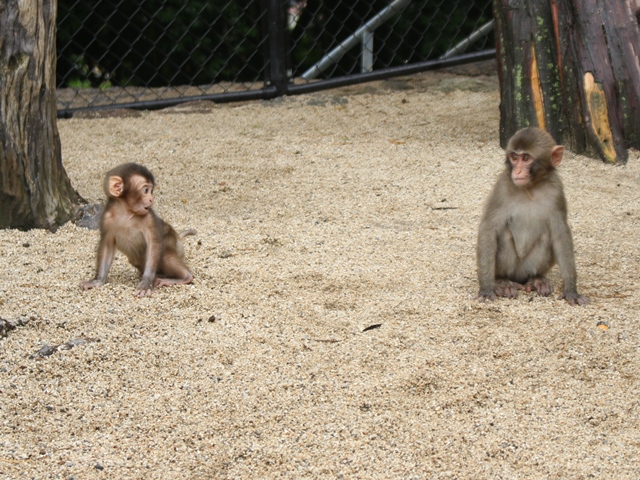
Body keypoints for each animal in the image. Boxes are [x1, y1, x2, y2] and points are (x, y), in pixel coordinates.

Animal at [82, 162, 195, 296]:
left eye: (151, 191)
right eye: (146, 190)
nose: (151, 199)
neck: (126, 213)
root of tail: (178, 237)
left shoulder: (148, 218)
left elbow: (154, 244)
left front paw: (146, 282)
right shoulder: (106, 219)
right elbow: (107, 245)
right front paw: (97, 280)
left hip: (173, 242)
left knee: (165, 254)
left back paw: (185, 277)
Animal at [478, 127, 588, 306]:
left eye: (526, 158)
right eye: (514, 157)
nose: (517, 171)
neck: (530, 188)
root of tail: (520, 279)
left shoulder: (556, 190)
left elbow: (560, 234)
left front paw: (572, 290)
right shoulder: (502, 187)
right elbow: (488, 229)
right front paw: (487, 289)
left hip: (527, 268)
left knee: (546, 237)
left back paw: (536, 279)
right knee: (504, 235)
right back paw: (502, 281)